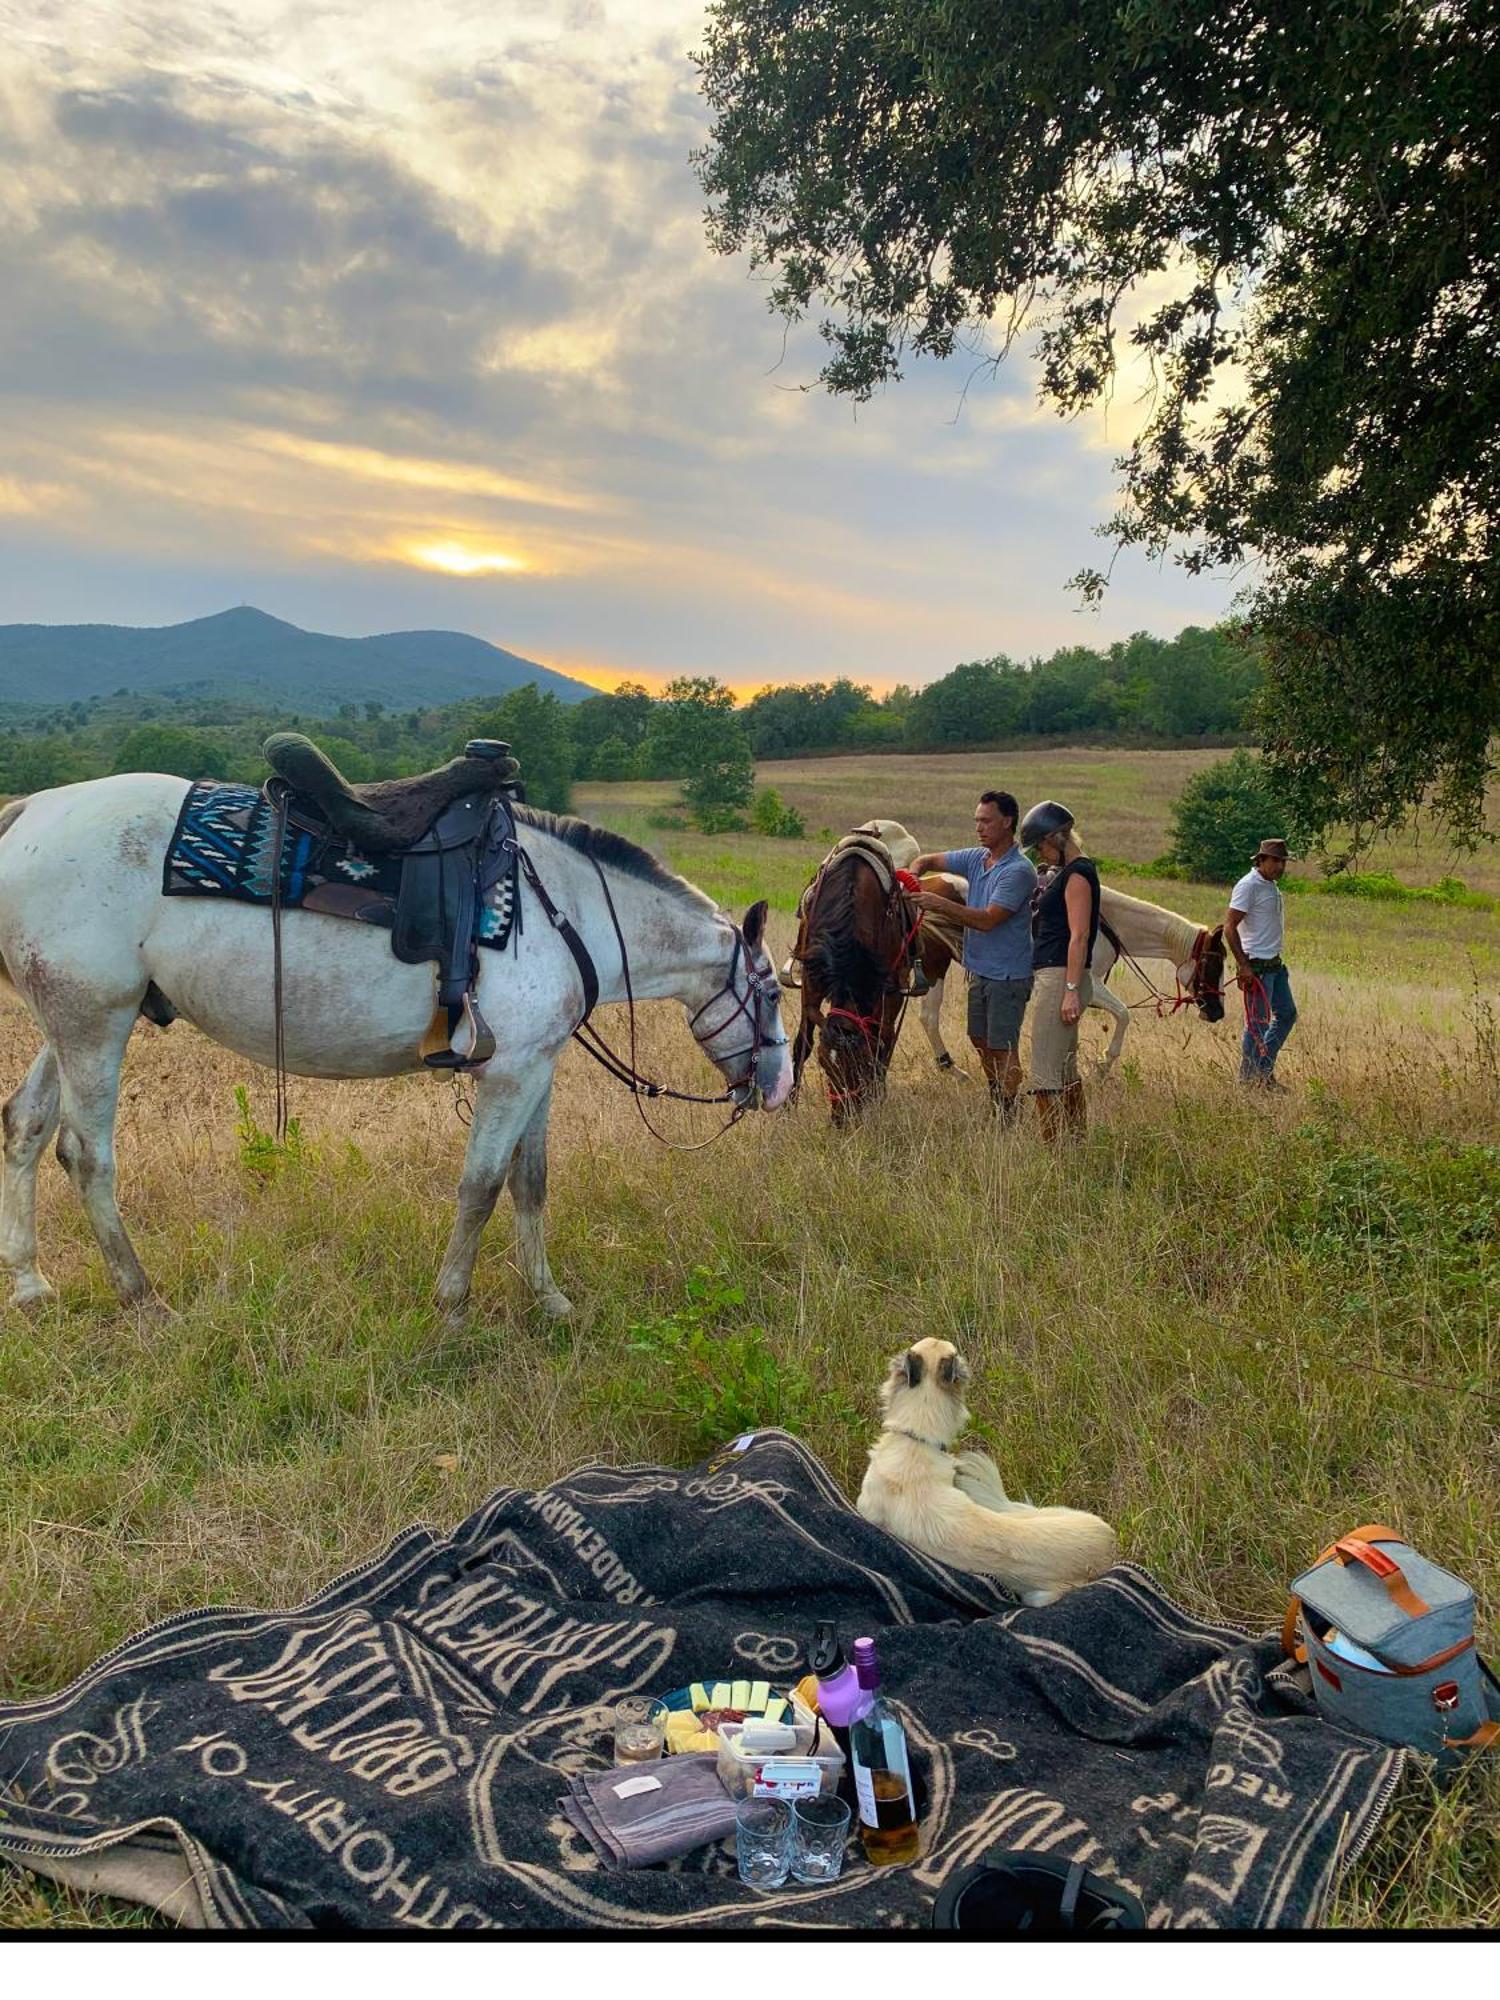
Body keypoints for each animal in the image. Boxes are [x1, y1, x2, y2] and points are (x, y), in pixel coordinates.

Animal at [0, 772, 800, 1320]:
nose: (779, 1086)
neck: (568, 911)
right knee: (86, 1154)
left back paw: (32, 1282)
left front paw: (548, 1300)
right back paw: (142, 1298)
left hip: (77, 1022)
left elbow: (531, 1183)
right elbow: (481, 1186)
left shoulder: (537, 1070)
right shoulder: (509, 1075)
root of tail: (31, 810)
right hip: (94, 1024)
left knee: (27, 1128)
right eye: (769, 992)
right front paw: (451, 1306)